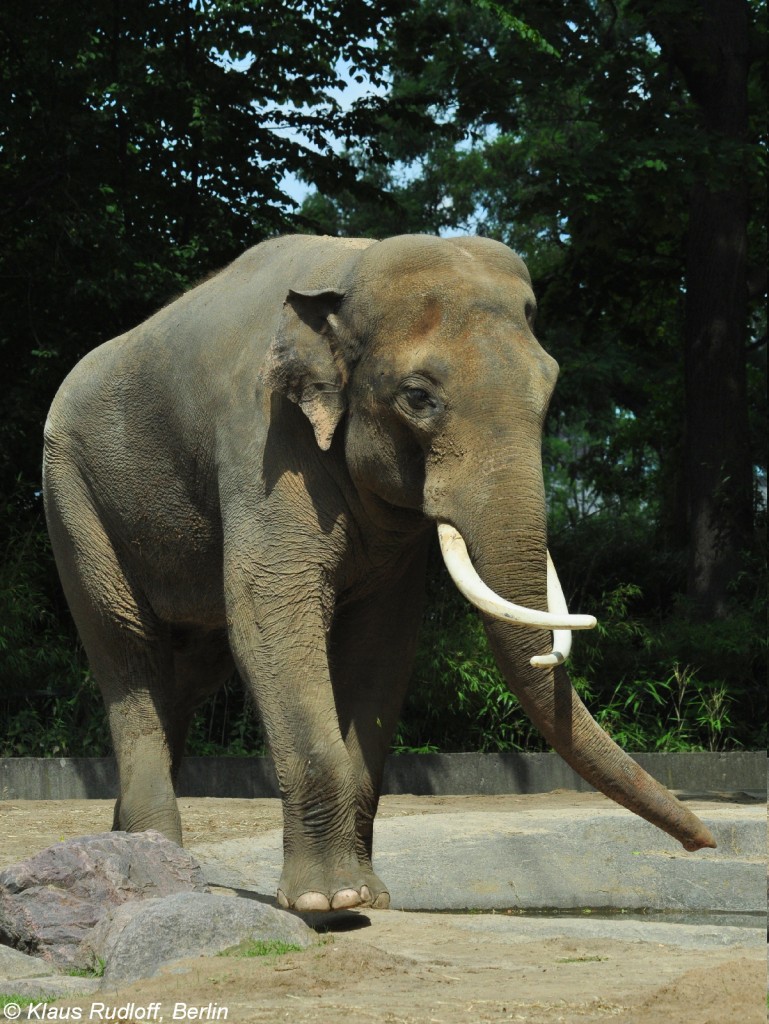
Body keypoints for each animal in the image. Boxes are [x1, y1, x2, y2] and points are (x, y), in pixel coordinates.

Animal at [41, 232, 716, 913]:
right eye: (418, 397)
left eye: (550, 388)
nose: (704, 843)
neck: (349, 269)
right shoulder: (263, 442)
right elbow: (269, 618)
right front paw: (329, 903)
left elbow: (383, 643)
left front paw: (367, 896)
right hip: (72, 498)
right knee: (128, 652)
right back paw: (158, 869)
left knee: (185, 673)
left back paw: (130, 849)